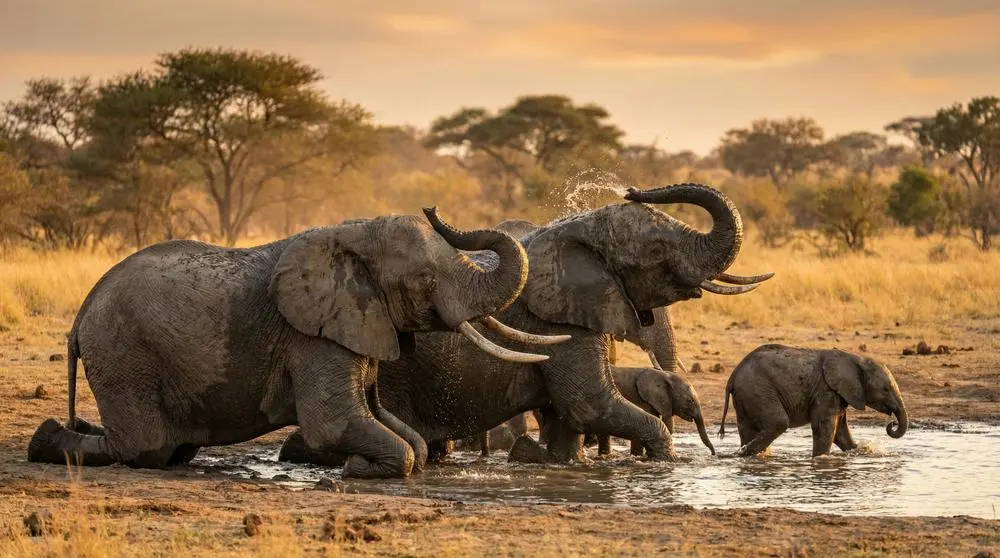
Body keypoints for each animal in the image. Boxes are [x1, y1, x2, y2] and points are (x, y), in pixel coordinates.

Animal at [26, 208, 569, 479]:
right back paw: (44, 439)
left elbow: (401, 432)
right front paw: (356, 466)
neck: (351, 236)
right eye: (425, 280)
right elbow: (338, 424)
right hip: (124, 355)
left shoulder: (359, 323)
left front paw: (362, 462)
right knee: (143, 446)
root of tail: (81, 315)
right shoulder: (313, 338)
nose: (432, 209)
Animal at [278, 183, 774, 466]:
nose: (633, 188)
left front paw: (565, 465)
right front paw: (662, 461)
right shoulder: (558, 319)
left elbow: (566, 416)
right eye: (655, 252)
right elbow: (590, 403)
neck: (578, 230)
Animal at [718, 344, 908, 457]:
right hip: (758, 390)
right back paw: (743, 454)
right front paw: (820, 459)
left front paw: (861, 451)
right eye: (886, 389)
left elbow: (840, 431)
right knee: (779, 422)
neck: (855, 359)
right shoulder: (825, 390)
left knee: (747, 428)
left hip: (746, 396)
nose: (892, 424)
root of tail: (733, 376)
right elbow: (825, 427)